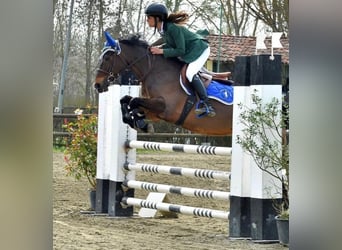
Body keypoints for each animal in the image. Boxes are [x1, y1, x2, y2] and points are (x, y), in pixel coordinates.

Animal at [95, 33, 234, 136]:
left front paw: (141, 123)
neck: (154, 71)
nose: (97, 85)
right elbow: (125, 100)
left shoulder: (165, 108)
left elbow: (133, 101)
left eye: (107, 58)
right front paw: (140, 123)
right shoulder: (155, 112)